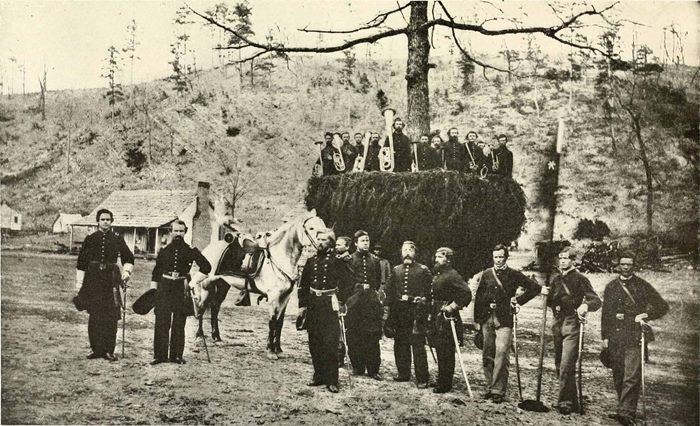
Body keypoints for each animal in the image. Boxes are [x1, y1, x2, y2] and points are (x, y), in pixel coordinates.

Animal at [189, 209, 324, 359]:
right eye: (311, 228)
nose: (325, 244)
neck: (279, 259)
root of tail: (209, 248)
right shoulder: (274, 297)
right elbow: (272, 321)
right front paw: (271, 351)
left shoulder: (285, 297)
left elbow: (280, 322)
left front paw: (278, 349)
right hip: (206, 284)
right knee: (201, 307)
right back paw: (199, 337)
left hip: (223, 284)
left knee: (215, 307)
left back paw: (217, 338)